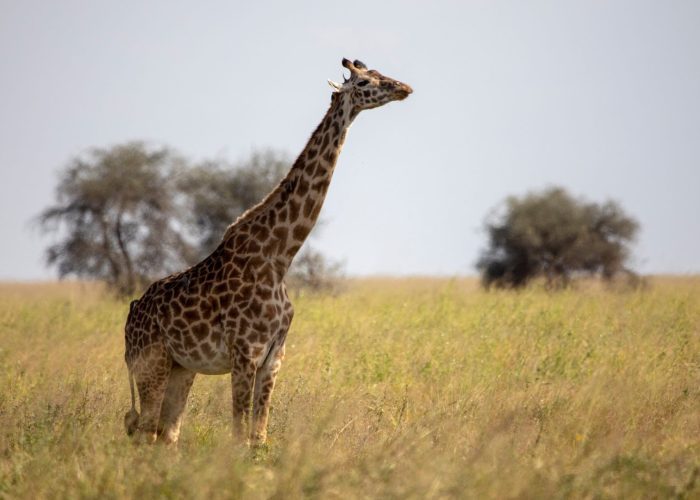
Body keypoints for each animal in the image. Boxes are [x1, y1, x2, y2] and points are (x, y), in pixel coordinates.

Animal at [124, 58, 412, 445]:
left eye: (381, 73)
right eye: (365, 82)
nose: (404, 88)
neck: (279, 256)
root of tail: (130, 317)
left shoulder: (275, 356)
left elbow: (258, 437)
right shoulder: (245, 353)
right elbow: (238, 436)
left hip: (181, 368)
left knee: (166, 435)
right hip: (150, 364)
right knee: (144, 432)